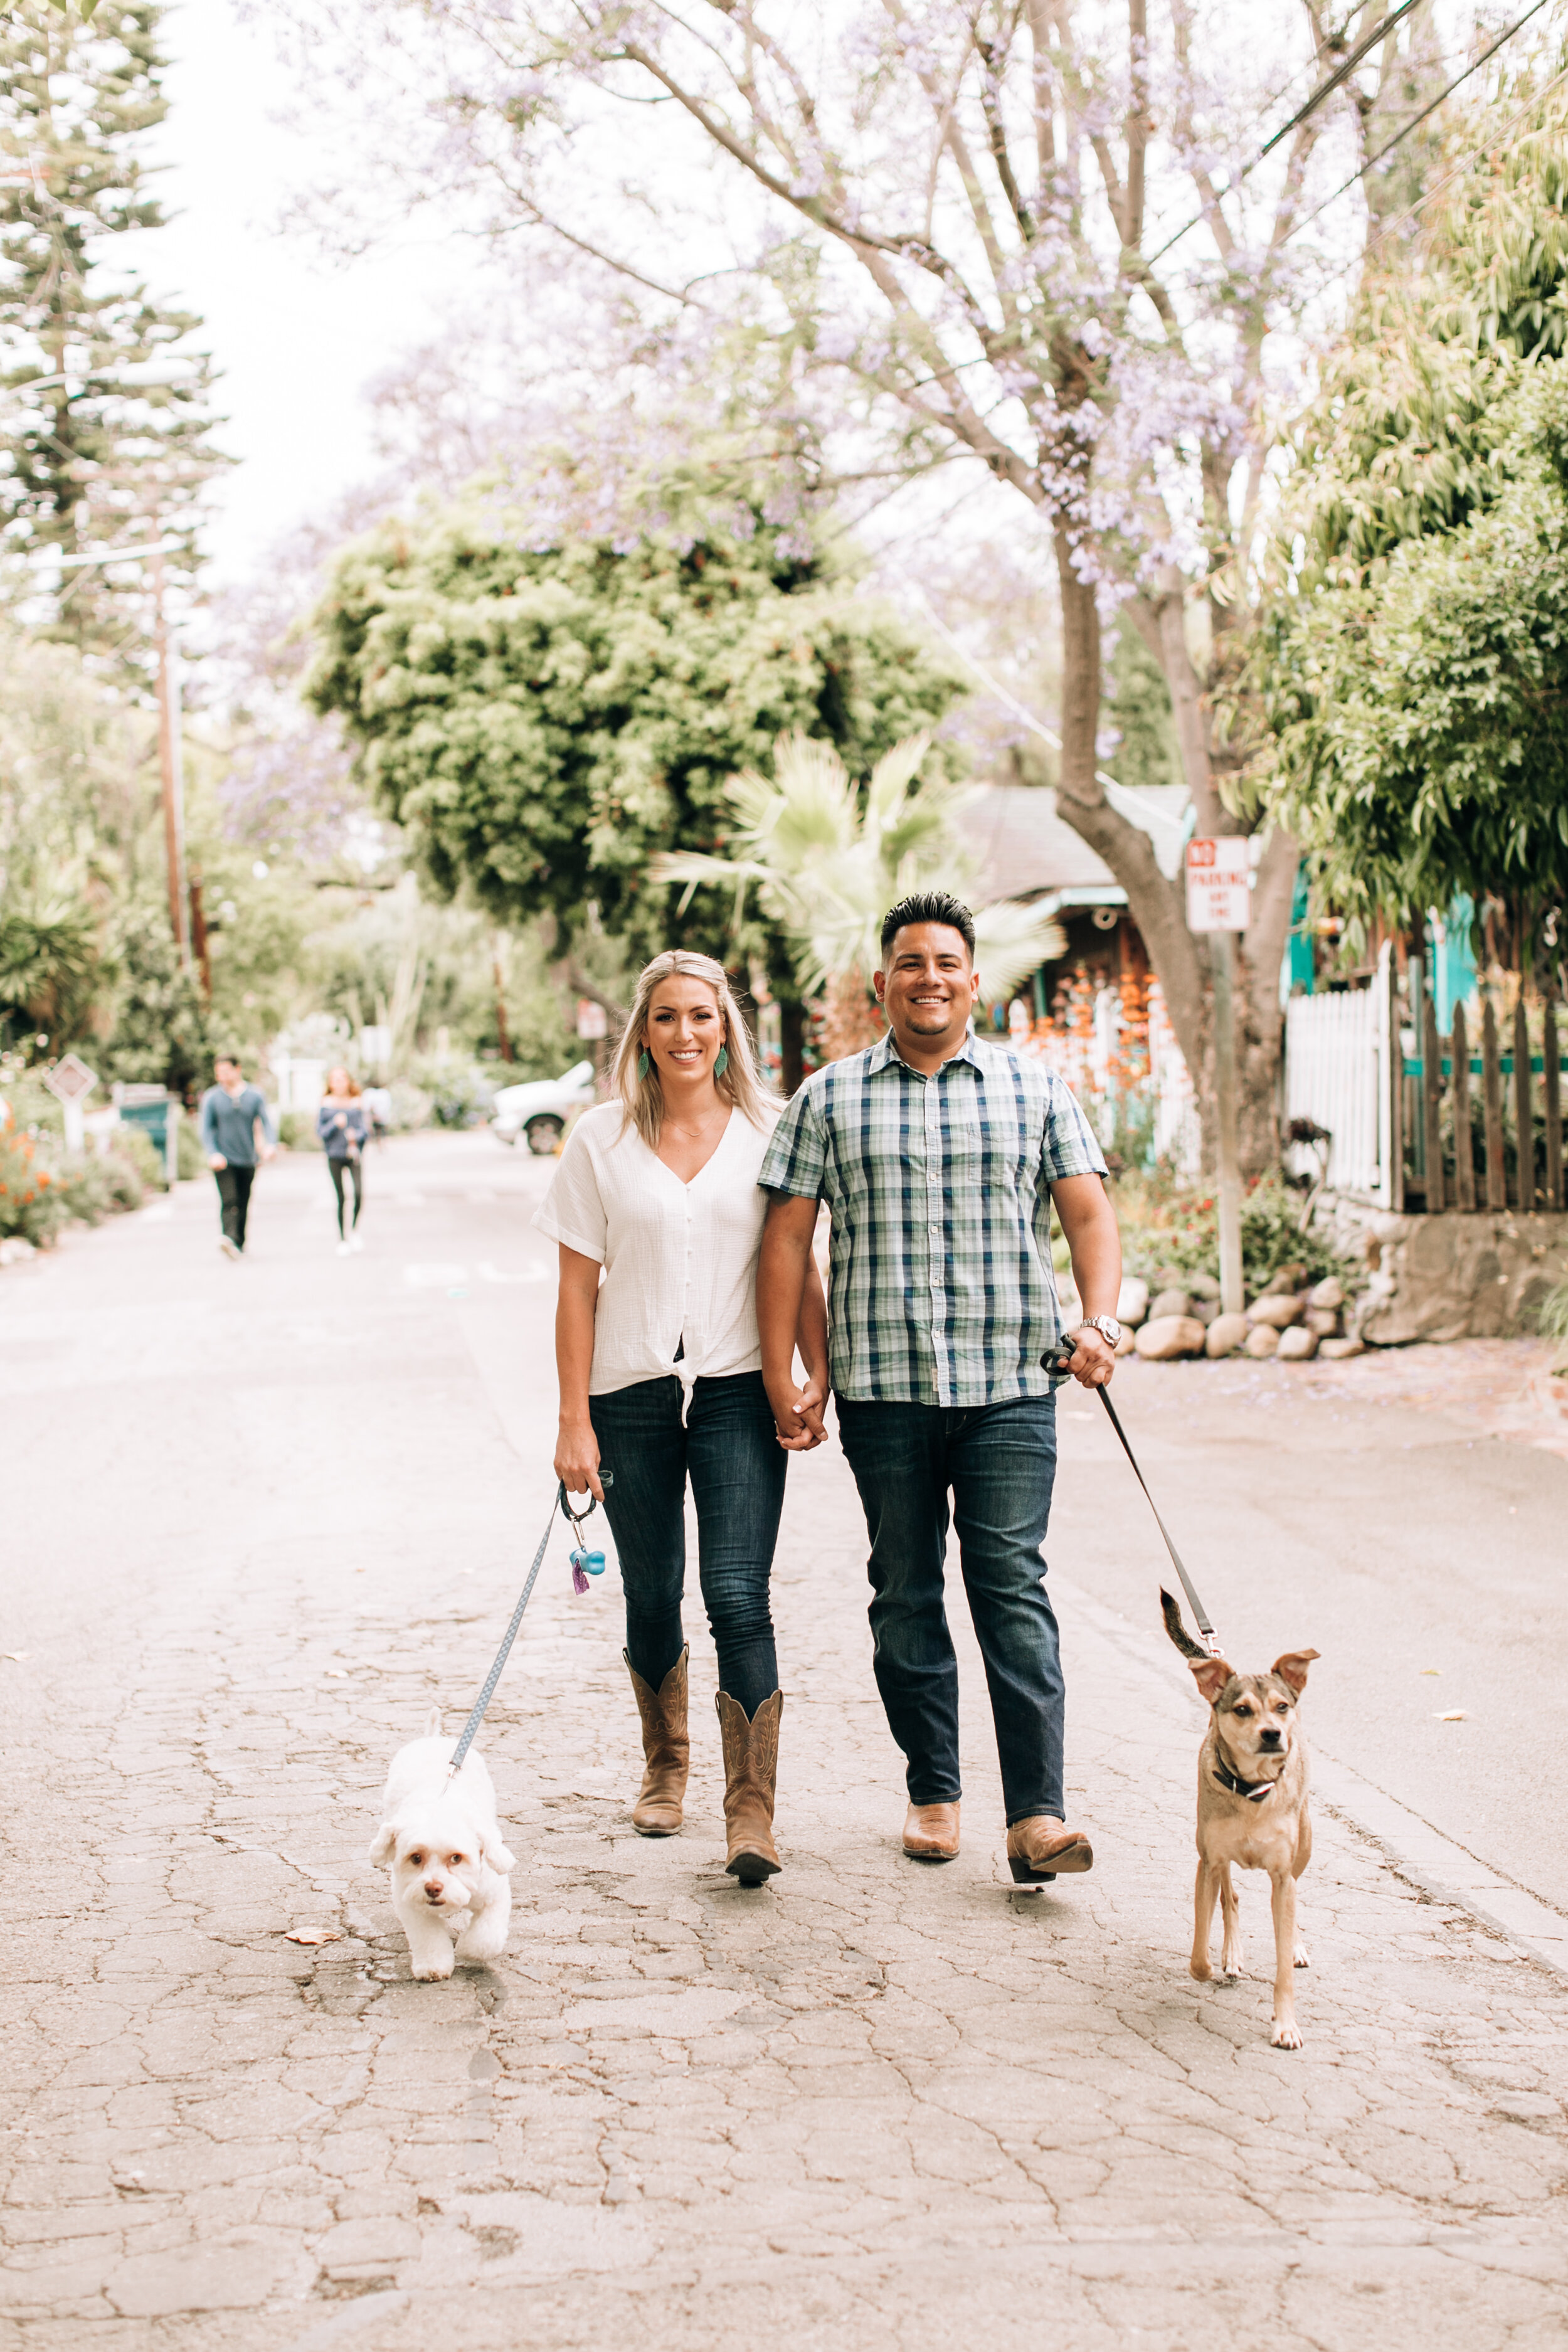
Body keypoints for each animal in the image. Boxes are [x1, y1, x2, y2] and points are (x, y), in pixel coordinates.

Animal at [371, 1712, 517, 1985]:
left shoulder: (494, 1894)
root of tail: (432, 1739)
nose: (433, 1888)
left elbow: (487, 1938)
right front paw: (433, 1967)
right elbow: (429, 1938)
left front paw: (468, 1949)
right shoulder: (412, 1904)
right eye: (416, 1857)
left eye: (457, 1858)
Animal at [1161, 1590, 1316, 2051]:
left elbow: (1282, 1964)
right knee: (1230, 1898)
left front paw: (1286, 2026)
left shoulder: (1282, 1874)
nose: (1272, 1734)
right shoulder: (1209, 1862)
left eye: (1282, 1707)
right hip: (1220, 1855)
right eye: (1243, 1709)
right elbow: (1199, 1946)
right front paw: (1211, 1966)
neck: (1252, 1790)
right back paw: (1231, 1955)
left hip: (1305, 1845)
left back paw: (1295, 1946)